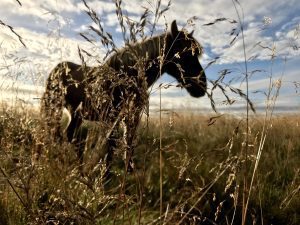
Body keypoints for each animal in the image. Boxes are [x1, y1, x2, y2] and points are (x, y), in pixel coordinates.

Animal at [41, 20, 207, 176]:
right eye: (185, 53)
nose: (202, 86)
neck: (125, 77)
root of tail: (57, 69)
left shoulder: (130, 116)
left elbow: (128, 141)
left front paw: (127, 170)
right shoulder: (113, 117)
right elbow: (112, 143)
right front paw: (105, 175)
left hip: (76, 114)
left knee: (71, 136)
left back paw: (79, 169)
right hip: (55, 107)